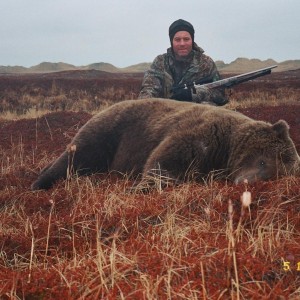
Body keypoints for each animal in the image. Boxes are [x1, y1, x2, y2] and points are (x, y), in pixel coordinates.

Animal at [31, 98, 300, 190]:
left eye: (277, 174)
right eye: (263, 161)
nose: (246, 182)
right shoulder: (199, 135)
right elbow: (164, 159)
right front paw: (141, 187)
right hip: (105, 134)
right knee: (73, 158)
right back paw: (38, 184)